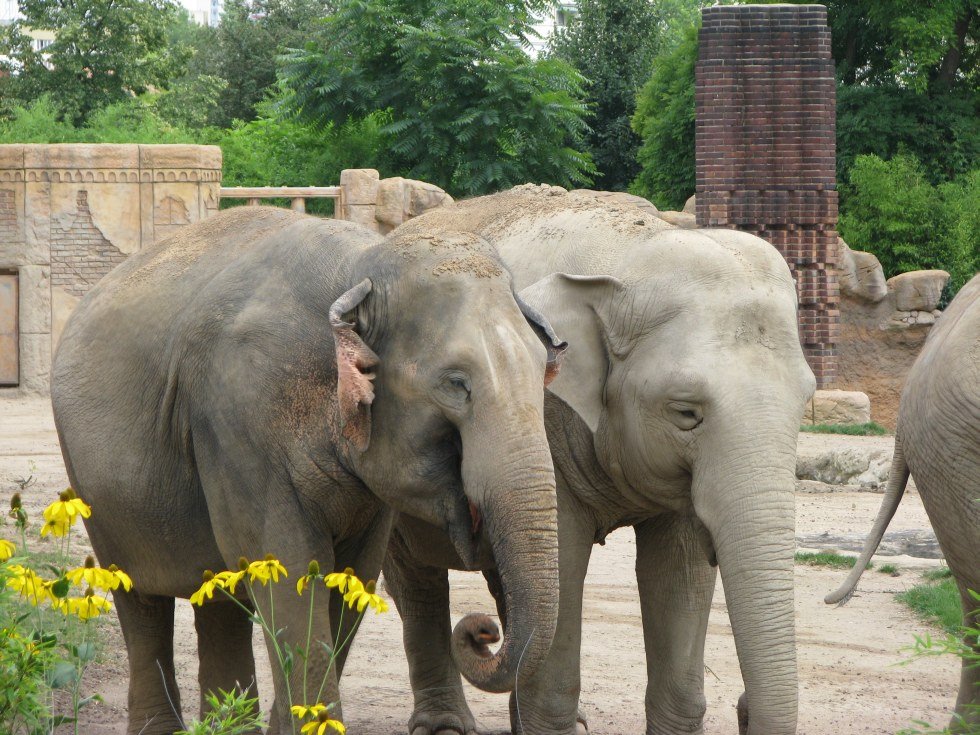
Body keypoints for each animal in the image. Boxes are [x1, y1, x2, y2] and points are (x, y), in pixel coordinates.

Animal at [49, 206, 568, 735]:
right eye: (456, 384)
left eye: (544, 368)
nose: (483, 629)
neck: (360, 268)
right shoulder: (238, 416)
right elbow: (286, 570)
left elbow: (352, 577)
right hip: (94, 488)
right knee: (139, 599)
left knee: (219, 599)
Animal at [384, 188, 820, 735]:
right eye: (686, 413)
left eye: (805, 402)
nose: (742, 706)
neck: (628, 255)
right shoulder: (545, 421)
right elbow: (565, 561)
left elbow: (676, 570)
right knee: (417, 583)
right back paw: (445, 724)